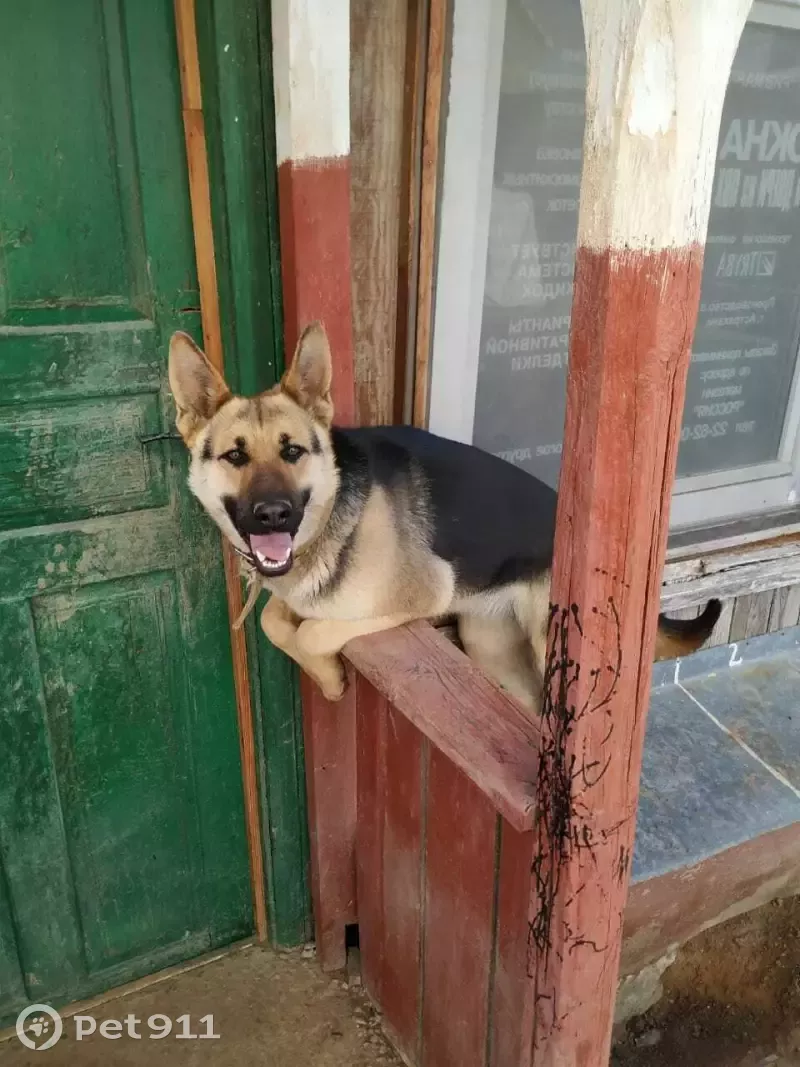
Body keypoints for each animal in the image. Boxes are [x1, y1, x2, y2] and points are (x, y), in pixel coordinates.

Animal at [168, 323, 721, 713]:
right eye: (235, 457)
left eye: (293, 451)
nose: (272, 514)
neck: (330, 524)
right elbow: (271, 620)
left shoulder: (421, 595)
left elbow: (311, 630)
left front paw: (329, 678)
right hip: (489, 647)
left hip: (551, 650)